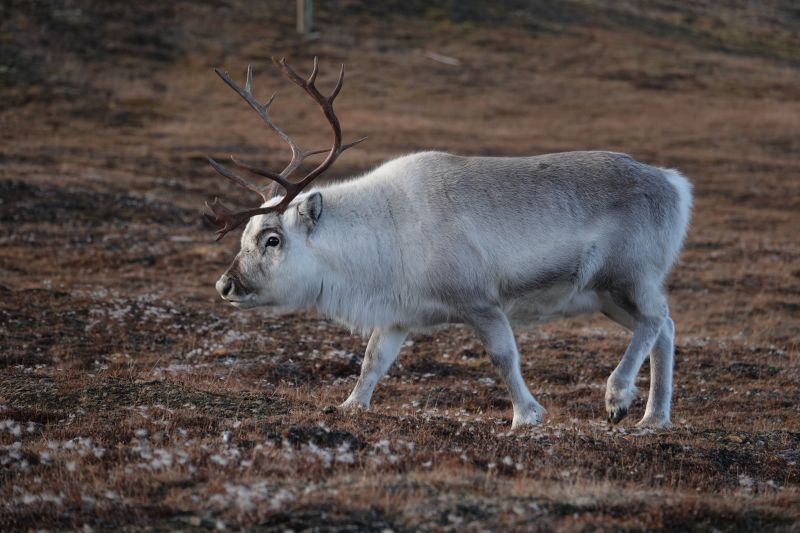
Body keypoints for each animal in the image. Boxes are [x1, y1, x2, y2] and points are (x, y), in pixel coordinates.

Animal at [204, 57, 692, 429]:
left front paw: (527, 416)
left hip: (628, 275)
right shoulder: (398, 314)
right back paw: (654, 419)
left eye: (272, 239)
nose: (225, 285)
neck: (382, 234)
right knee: (665, 328)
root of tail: (675, 184)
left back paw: (618, 398)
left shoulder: (480, 301)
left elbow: (503, 357)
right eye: (247, 236)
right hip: (605, 296)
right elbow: (372, 361)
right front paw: (349, 406)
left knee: (656, 319)